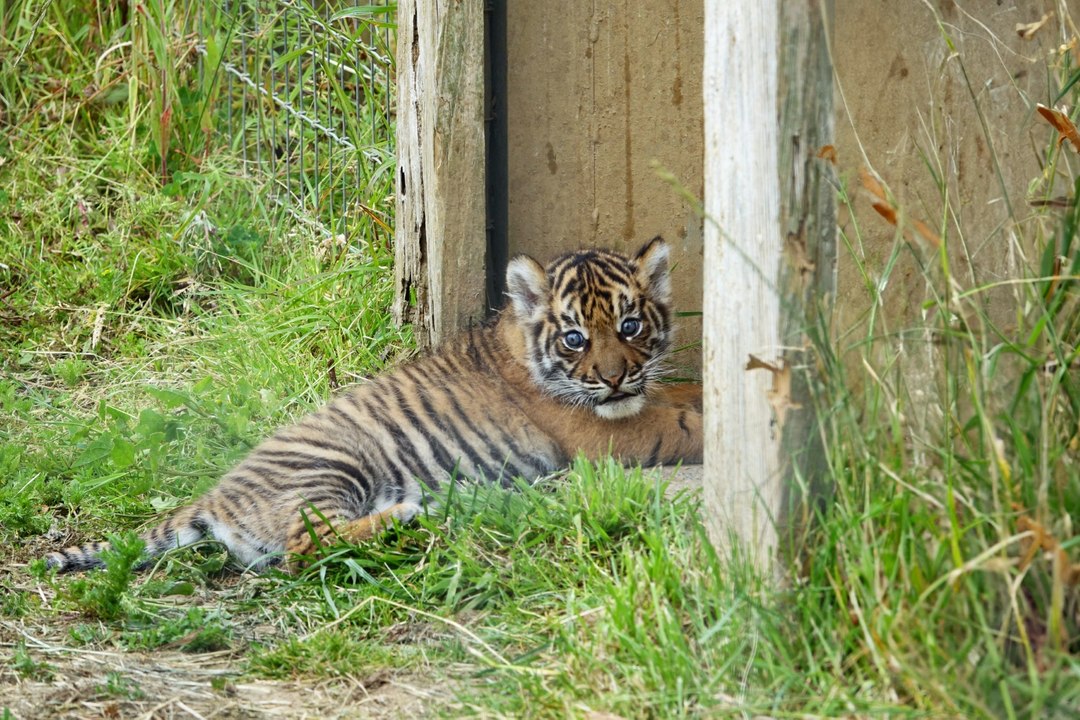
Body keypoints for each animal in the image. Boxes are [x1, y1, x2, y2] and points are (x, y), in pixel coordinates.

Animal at [45, 237, 703, 573]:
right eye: (574, 339)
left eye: (630, 325)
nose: (615, 379)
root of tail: (213, 496)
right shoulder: (607, 434)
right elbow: (687, 423)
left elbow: (682, 394)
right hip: (333, 466)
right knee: (304, 547)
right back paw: (409, 514)